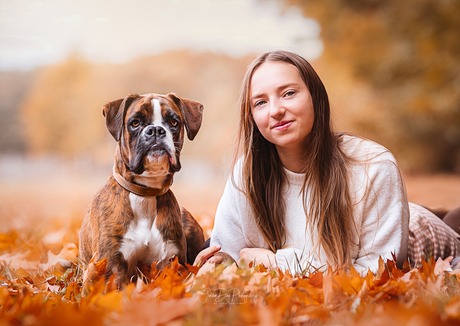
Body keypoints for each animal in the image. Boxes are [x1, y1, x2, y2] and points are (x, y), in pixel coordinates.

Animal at [79, 91, 205, 288]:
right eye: (135, 123)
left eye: (174, 122)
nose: (156, 130)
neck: (146, 193)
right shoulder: (105, 265)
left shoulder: (171, 261)